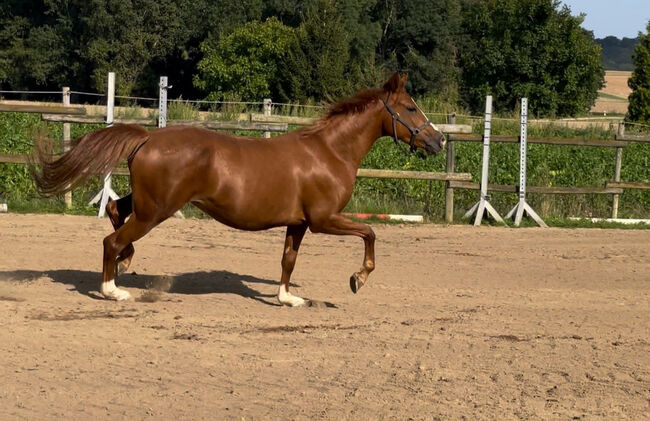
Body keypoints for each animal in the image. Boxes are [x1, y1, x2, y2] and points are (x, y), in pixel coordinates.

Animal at [33, 73, 442, 306]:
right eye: (410, 107)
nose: (437, 141)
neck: (328, 151)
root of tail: (148, 137)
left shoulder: (299, 223)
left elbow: (288, 260)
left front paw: (288, 298)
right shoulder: (325, 219)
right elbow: (370, 232)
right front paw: (358, 279)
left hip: (151, 203)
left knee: (116, 210)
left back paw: (126, 263)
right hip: (157, 209)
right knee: (112, 239)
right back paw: (113, 289)